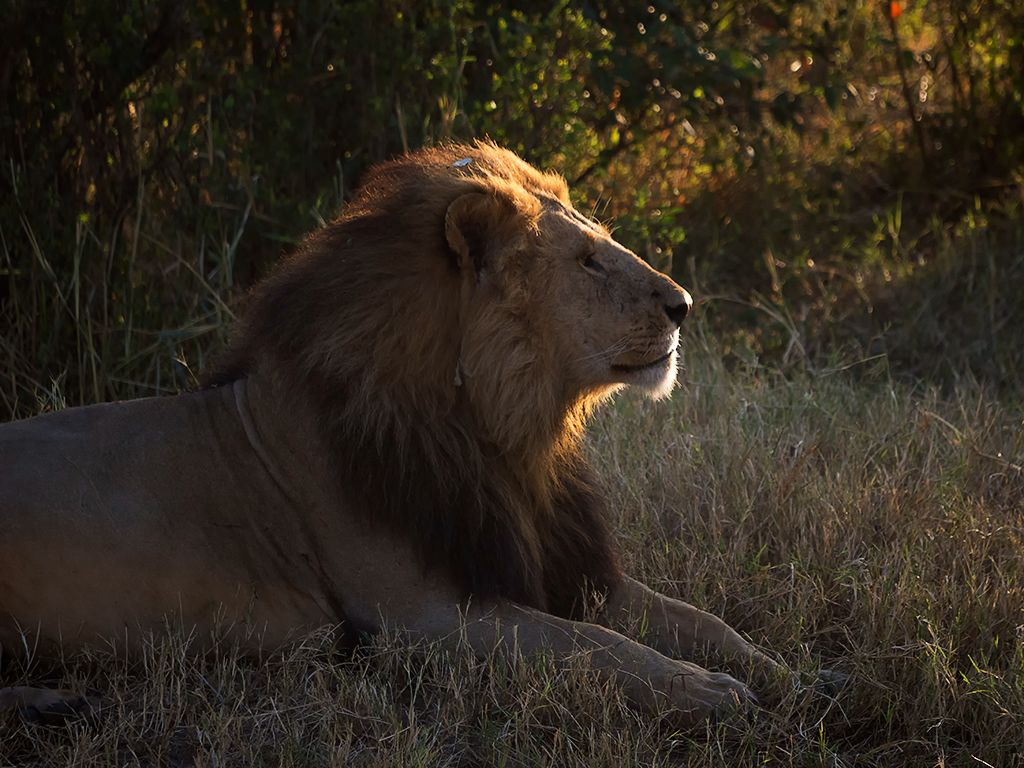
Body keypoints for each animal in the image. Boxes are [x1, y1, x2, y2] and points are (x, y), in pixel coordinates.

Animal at [0, 141, 790, 723]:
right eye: (588, 260)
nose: (684, 303)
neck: (505, 439)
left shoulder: (560, 566)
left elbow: (697, 621)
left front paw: (786, 671)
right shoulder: (421, 617)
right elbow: (593, 646)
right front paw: (705, 691)